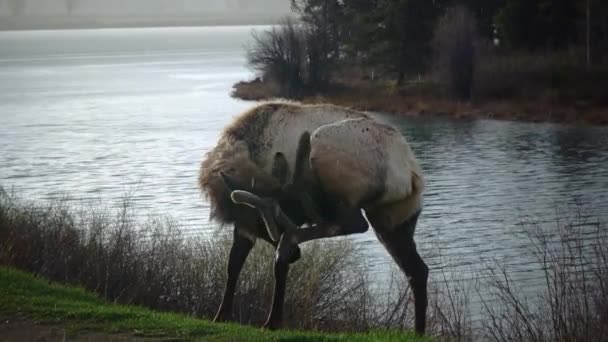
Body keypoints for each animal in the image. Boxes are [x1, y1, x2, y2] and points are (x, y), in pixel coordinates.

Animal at [200, 102, 428, 334]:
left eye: (264, 222)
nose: (296, 255)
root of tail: (411, 172)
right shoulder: (246, 225)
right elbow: (233, 265)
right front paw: (220, 316)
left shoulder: (290, 207)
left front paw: (273, 321)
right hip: (393, 217)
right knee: (417, 270)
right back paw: (418, 332)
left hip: (327, 156)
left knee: (352, 224)